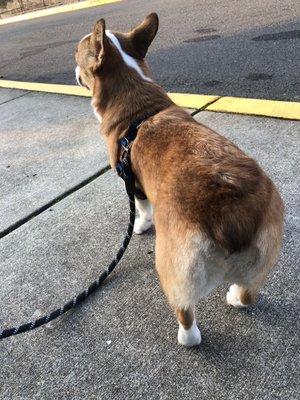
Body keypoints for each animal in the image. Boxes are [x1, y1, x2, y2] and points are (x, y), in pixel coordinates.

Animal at [75, 14, 284, 346]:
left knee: (185, 310)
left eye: (76, 57)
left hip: (173, 265)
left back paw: (187, 338)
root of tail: (231, 215)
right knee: (248, 293)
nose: (73, 71)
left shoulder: (133, 184)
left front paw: (140, 226)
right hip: (262, 257)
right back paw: (234, 297)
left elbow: (141, 208)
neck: (138, 104)